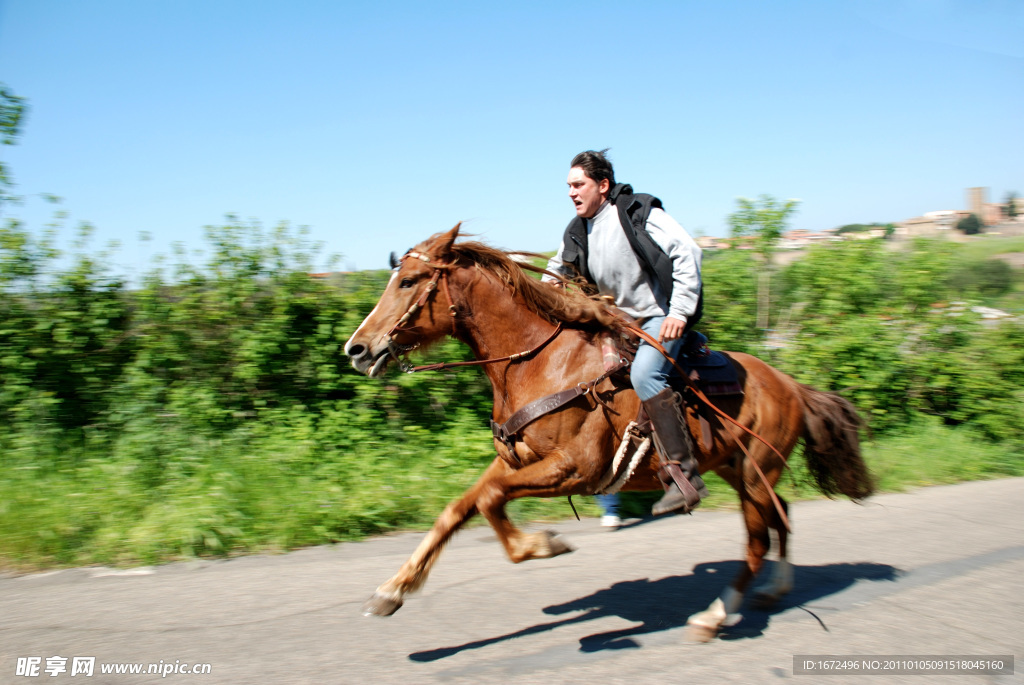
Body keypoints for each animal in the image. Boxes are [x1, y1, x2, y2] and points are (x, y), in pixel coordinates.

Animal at [344, 224, 872, 643]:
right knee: (782, 517)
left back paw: (715, 615)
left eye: (408, 281)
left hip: (754, 474)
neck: (539, 362)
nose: (357, 349)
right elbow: (458, 509)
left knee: (758, 540)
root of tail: (790, 384)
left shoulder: (575, 469)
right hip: (743, 472)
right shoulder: (516, 460)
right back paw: (777, 587)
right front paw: (392, 590)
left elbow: (491, 500)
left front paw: (542, 545)